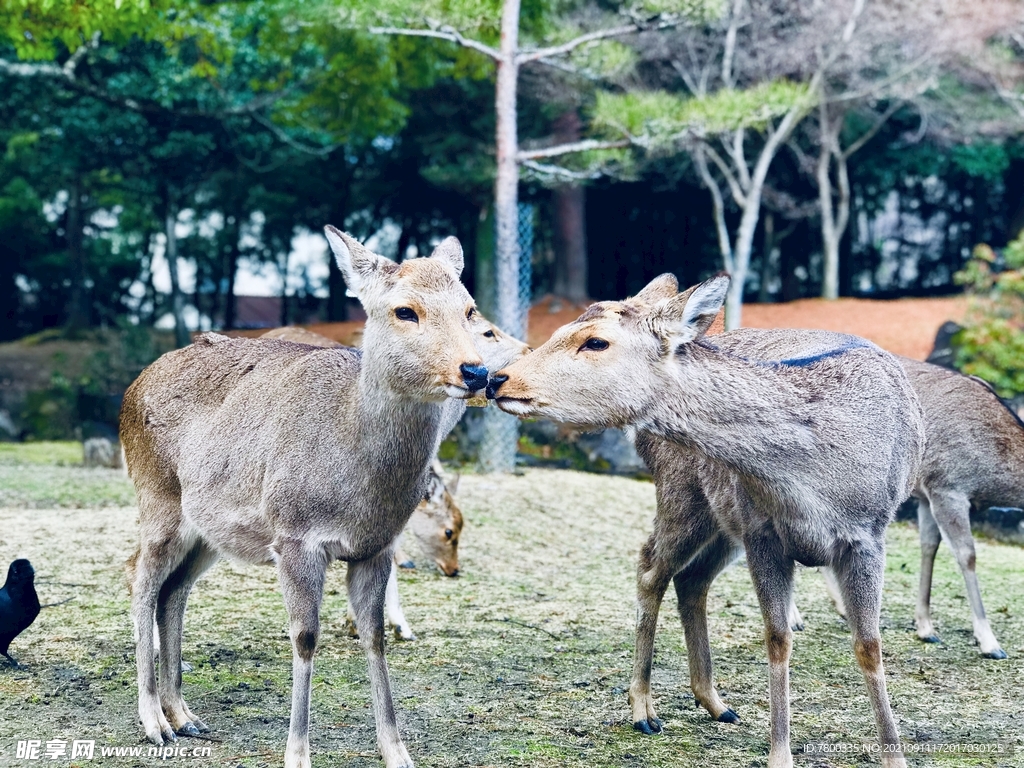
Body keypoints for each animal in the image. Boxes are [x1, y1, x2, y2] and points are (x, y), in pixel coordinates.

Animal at [119, 227, 487, 768]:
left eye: (469, 308)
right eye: (405, 310)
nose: (476, 372)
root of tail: (132, 388)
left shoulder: (375, 547)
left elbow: (374, 636)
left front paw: (398, 752)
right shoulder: (294, 537)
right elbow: (306, 637)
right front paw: (297, 753)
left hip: (209, 533)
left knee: (172, 591)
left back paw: (184, 715)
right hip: (157, 498)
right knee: (140, 579)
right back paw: (153, 722)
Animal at [483, 276, 925, 768]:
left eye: (595, 341)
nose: (497, 378)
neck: (813, 482)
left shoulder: (868, 534)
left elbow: (869, 646)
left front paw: (895, 757)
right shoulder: (763, 532)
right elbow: (778, 638)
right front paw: (780, 755)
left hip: (722, 522)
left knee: (691, 579)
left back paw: (716, 702)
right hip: (682, 493)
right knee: (651, 568)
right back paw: (644, 710)